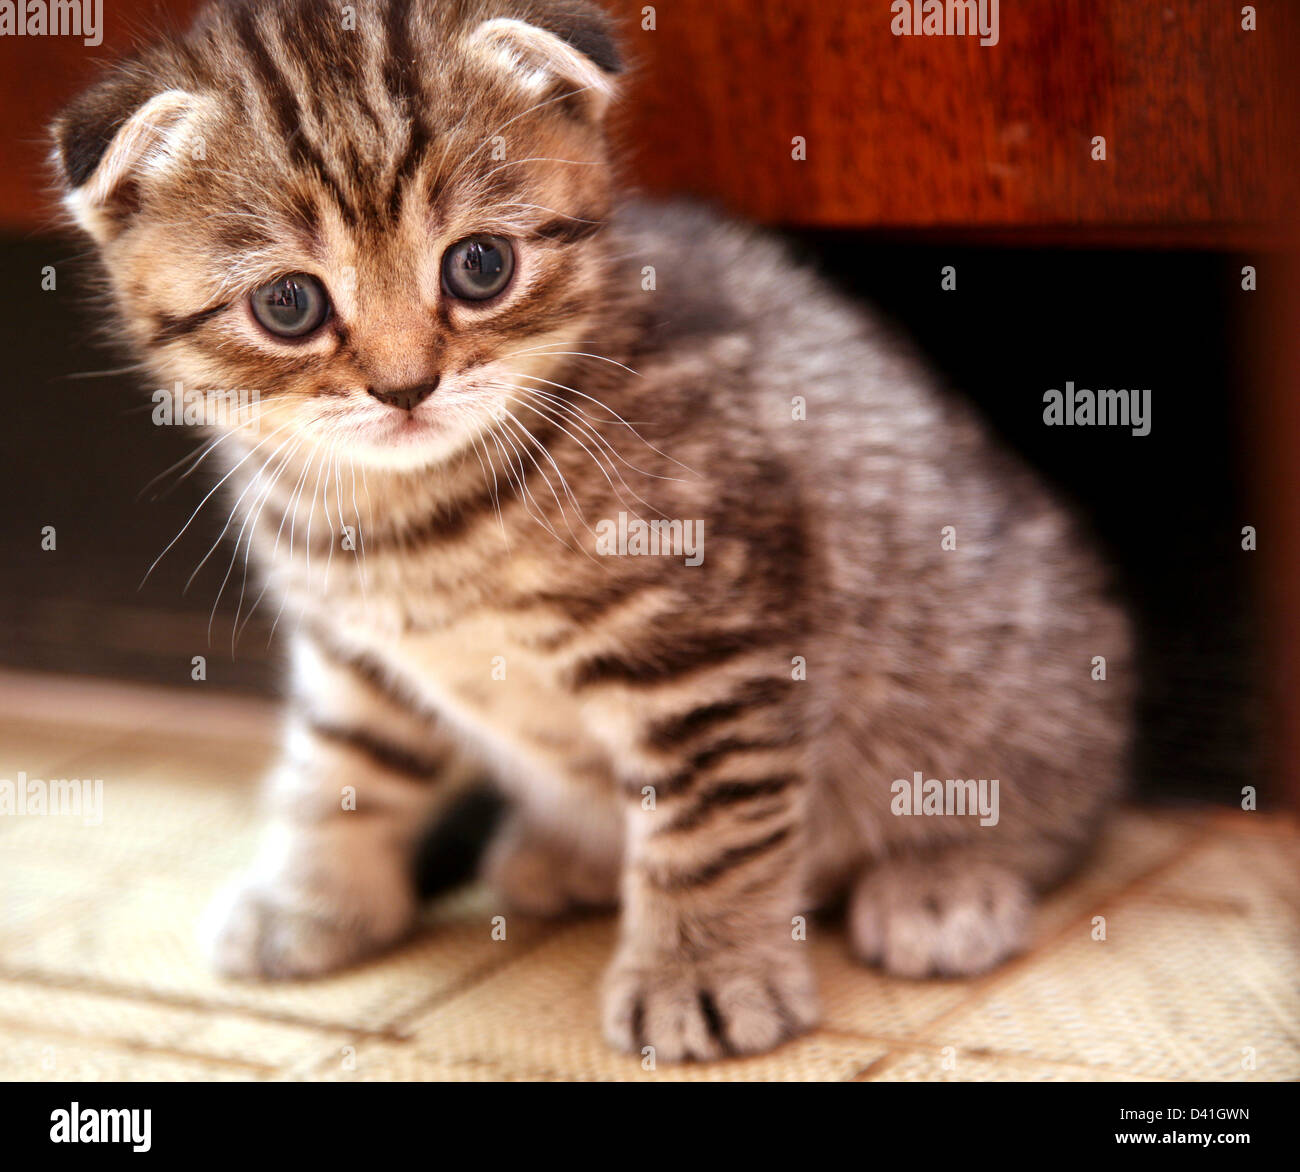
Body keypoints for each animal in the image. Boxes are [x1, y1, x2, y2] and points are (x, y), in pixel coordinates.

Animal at [53, 0, 1128, 1065]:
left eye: (480, 266)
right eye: (288, 304)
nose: (406, 387)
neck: (412, 522)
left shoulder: (706, 638)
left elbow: (711, 821)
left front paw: (703, 973)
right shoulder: (355, 650)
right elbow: (342, 764)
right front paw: (308, 900)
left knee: (1053, 801)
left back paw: (943, 880)